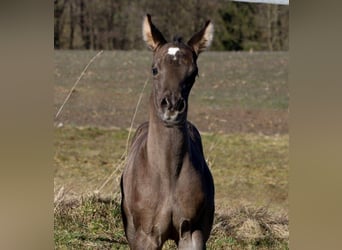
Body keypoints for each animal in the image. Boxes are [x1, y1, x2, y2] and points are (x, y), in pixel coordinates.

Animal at [121, 14, 214, 250]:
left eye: (193, 73)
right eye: (154, 69)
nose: (171, 106)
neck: (168, 176)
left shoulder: (192, 233)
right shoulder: (145, 235)